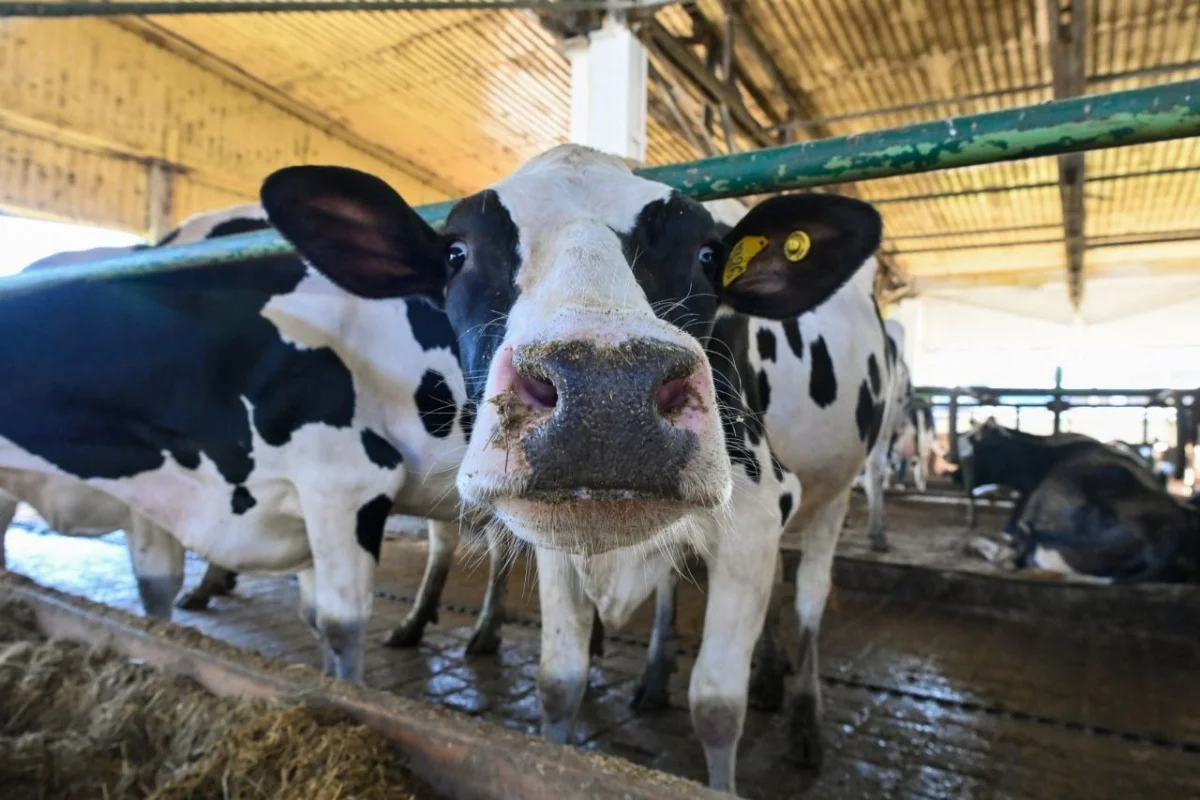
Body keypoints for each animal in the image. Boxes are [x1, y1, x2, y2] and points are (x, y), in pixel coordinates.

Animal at [259, 144, 884, 791]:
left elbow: (716, 706)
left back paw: (803, 721)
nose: (606, 392)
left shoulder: (757, 518)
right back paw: (664, 681)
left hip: (838, 490)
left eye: (708, 255)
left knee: (810, 595)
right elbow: (559, 684)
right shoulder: (555, 544)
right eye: (456, 253)